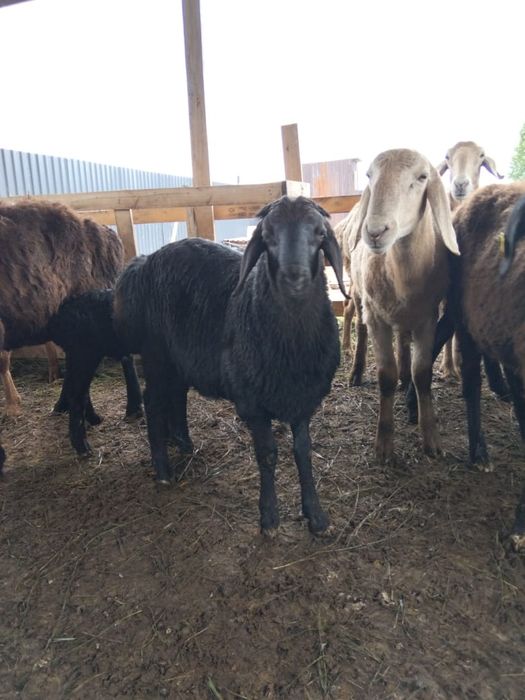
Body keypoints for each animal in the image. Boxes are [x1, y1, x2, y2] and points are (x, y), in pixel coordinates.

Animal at [114, 196, 347, 535]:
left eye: (319, 234)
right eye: (267, 236)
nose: (294, 277)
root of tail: (145, 260)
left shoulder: (302, 398)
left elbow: (303, 453)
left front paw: (316, 516)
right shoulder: (253, 403)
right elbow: (268, 455)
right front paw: (269, 518)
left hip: (180, 358)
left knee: (177, 395)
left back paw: (183, 442)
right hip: (156, 354)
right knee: (154, 402)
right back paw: (163, 470)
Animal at [348, 149, 459, 463]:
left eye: (422, 177)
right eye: (369, 175)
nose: (374, 231)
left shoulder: (427, 318)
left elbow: (422, 373)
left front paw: (430, 438)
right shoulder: (377, 318)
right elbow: (385, 375)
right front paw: (384, 444)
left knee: (404, 343)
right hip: (361, 297)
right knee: (360, 328)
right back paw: (357, 371)